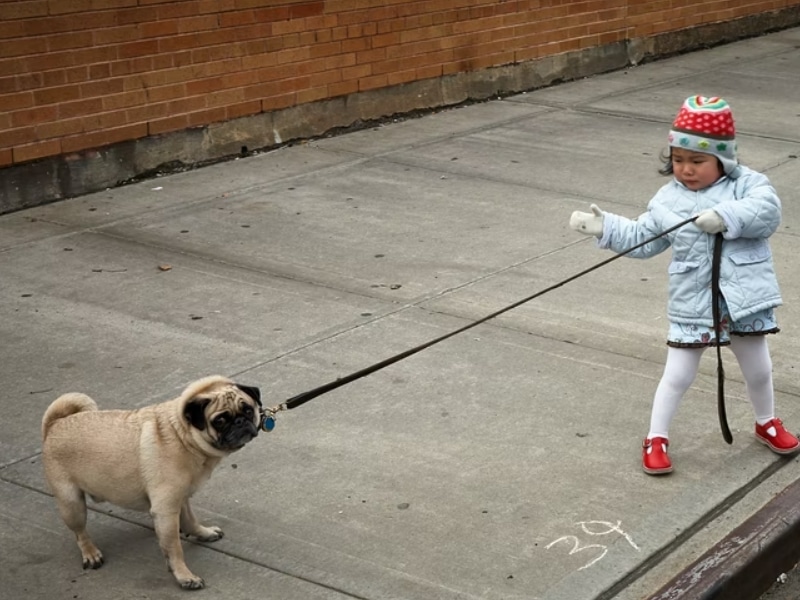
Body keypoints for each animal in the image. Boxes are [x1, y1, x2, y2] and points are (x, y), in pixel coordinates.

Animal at [42, 376, 262, 592]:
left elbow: (190, 521)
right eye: (220, 421)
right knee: (80, 532)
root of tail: (55, 423)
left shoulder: (180, 498)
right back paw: (90, 553)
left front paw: (204, 533)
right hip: (72, 504)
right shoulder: (166, 510)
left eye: (248, 410)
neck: (182, 435)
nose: (241, 421)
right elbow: (174, 548)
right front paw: (184, 576)